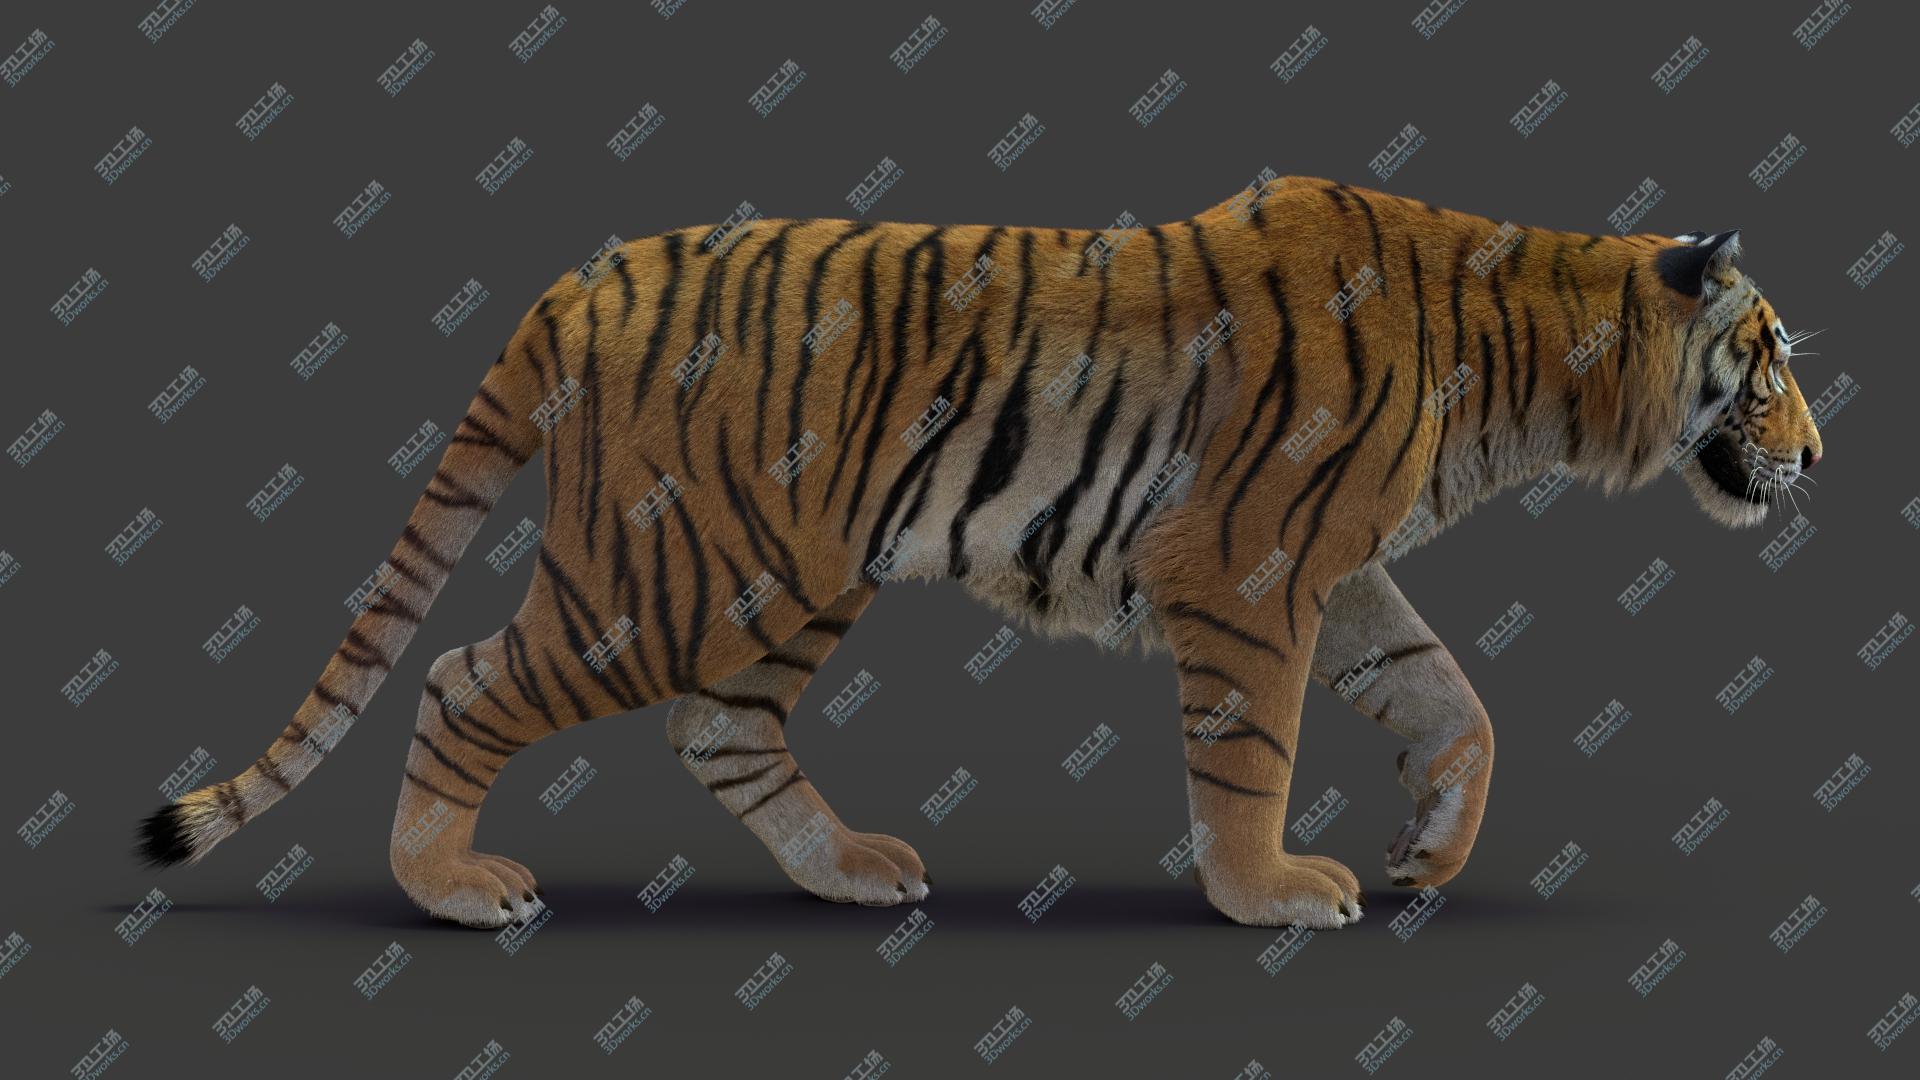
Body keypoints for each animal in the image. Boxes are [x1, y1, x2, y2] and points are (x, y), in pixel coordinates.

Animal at [137, 175, 1824, 930]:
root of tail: (584, 273)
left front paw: (1429, 857)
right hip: (665, 576)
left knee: (719, 732)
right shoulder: (1246, 571)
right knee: (464, 678)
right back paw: (451, 887)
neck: (1531, 363)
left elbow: (1453, 705)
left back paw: (852, 873)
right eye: (1767, 361)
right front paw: (1269, 891)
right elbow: (1251, 755)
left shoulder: (1337, 570)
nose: (1819, 457)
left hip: (786, 576)